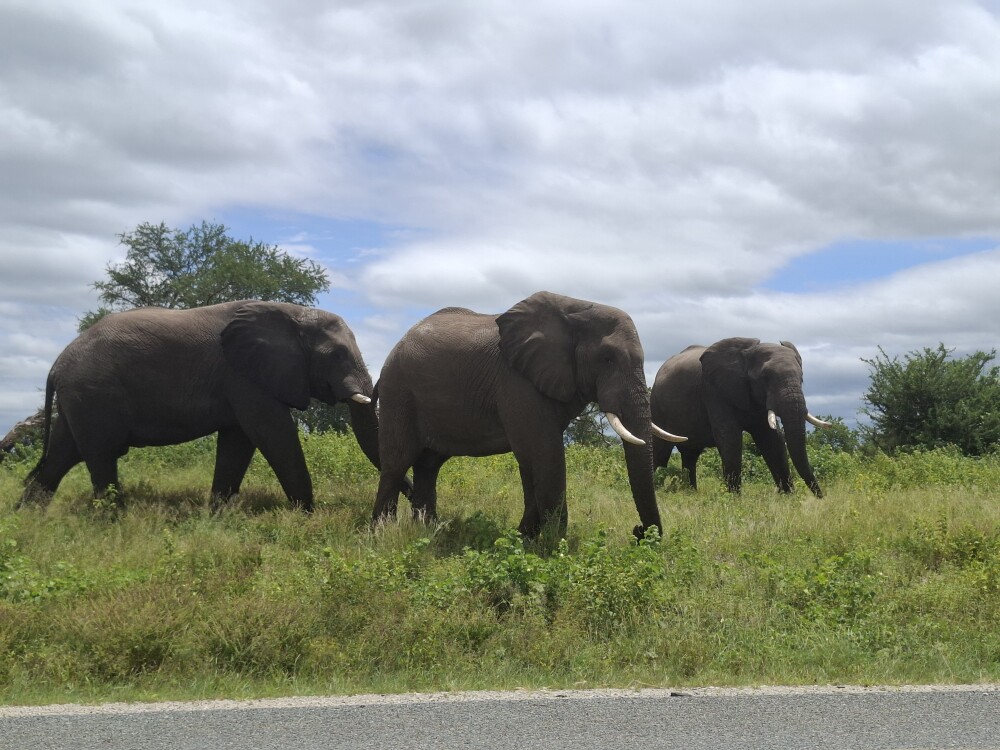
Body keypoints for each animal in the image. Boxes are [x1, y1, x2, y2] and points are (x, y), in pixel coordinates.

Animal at [20, 300, 384, 511]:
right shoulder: (244, 375)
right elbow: (273, 434)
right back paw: (114, 520)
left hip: (79, 398)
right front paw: (306, 515)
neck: (292, 313)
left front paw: (218, 516)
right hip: (94, 393)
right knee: (100, 455)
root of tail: (57, 365)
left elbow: (238, 442)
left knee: (62, 455)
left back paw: (28, 518)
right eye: (337, 355)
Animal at [371, 291, 686, 538]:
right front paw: (551, 544)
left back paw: (427, 530)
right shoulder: (516, 382)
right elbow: (545, 453)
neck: (576, 309)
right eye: (607, 359)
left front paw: (525, 537)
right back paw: (382, 533)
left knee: (428, 465)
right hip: (399, 392)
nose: (638, 532)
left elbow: (531, 459)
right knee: (397, 462)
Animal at [650, 337, 831, 497]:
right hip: (657, 407)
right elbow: (730, 437)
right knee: (660, 452)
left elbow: (772, 439)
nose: (820, 497)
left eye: (802, 378)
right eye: (765, 378)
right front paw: (734, 499)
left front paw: (789, 497)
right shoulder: (714, 390)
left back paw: (691, 493)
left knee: (690, 455)